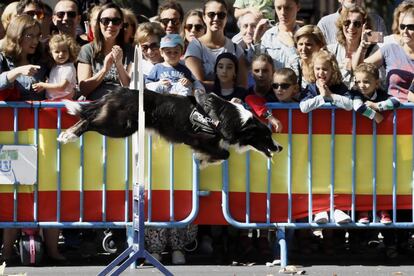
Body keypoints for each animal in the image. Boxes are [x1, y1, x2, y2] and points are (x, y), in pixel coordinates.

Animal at [57, 87, 282, 165]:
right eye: (266, 137)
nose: (279, 147)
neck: (234, 119)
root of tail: (117, 91)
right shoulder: (200, 139)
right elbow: (224, 154)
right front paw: (205, 161)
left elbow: (223, 153)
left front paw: (204, 160)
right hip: (120, 126)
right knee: (90, 121)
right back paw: (69, 136)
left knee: (87, 117)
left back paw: (66, 134)